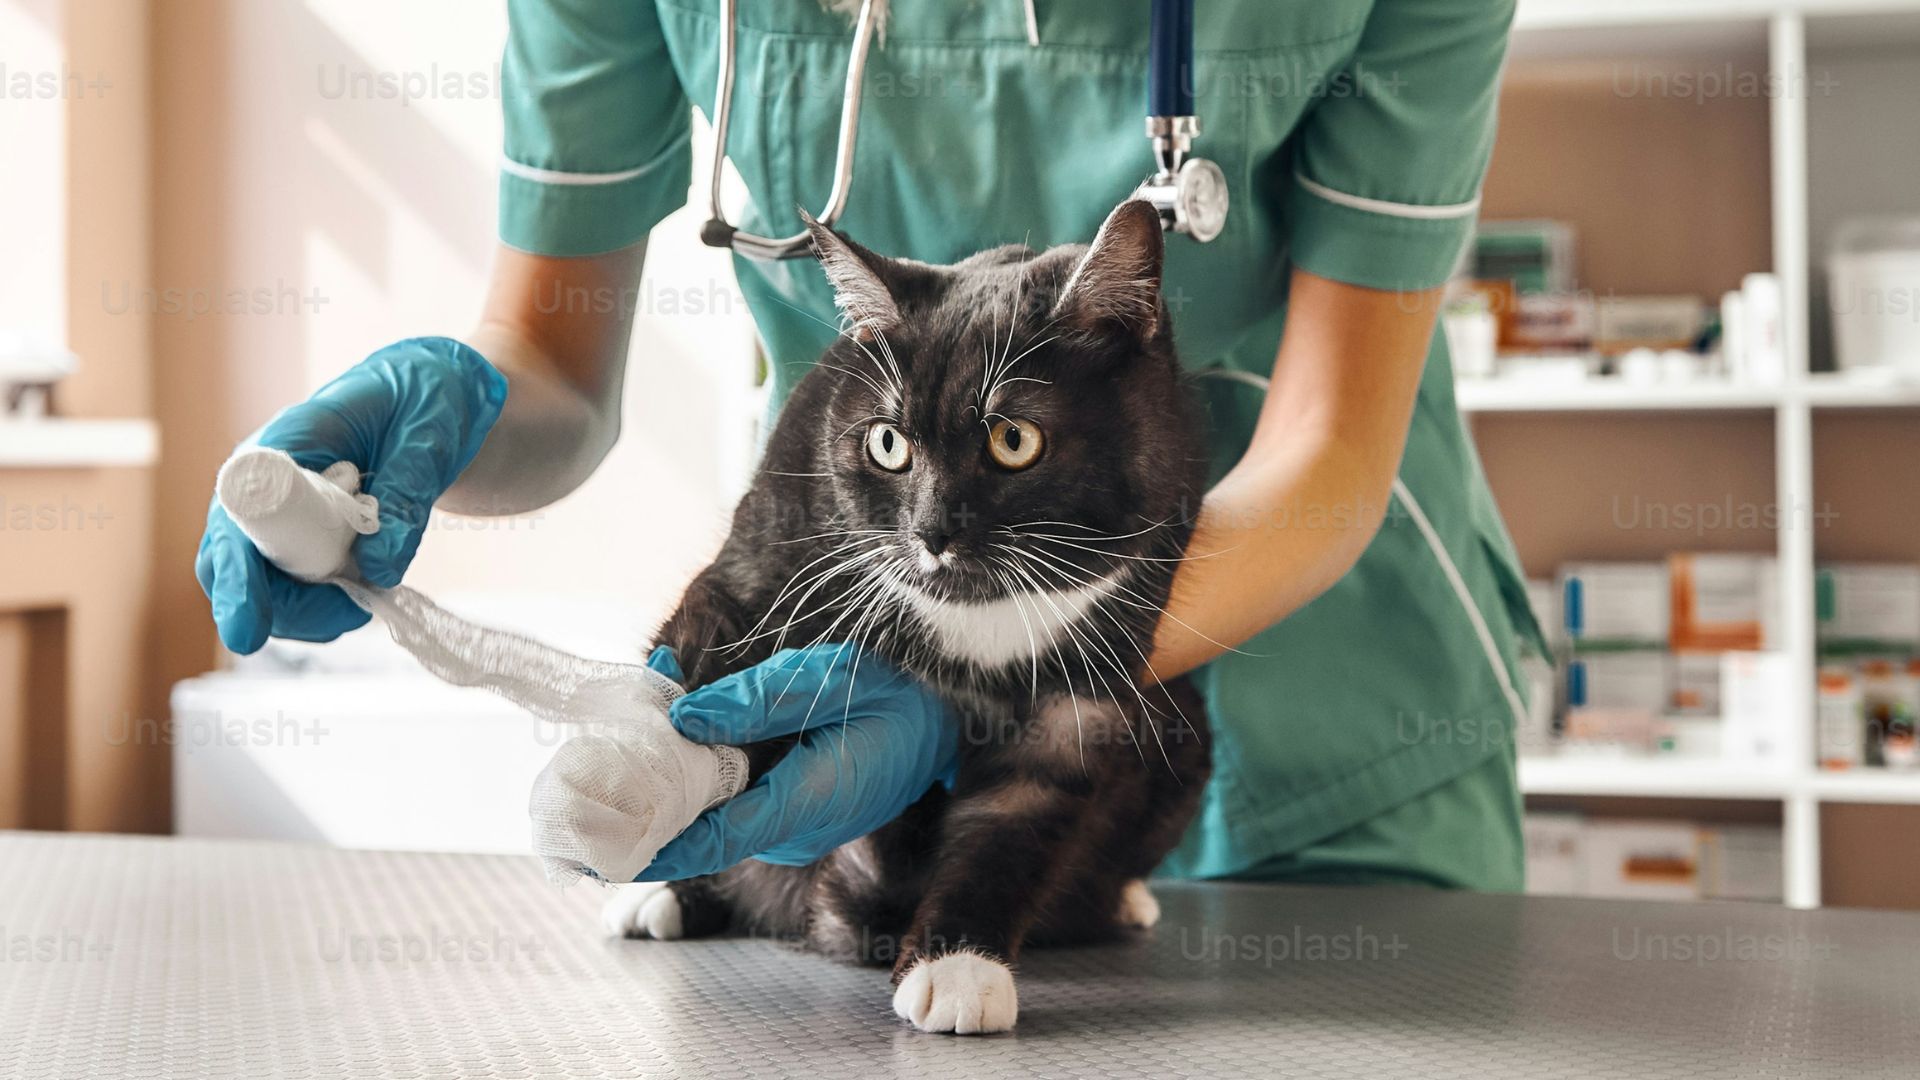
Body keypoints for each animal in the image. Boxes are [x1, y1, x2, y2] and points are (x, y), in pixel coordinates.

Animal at [610, 197, 1213, 1030]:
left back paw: (1119, 899)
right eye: (888, 443)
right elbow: (712, 642)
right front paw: (639, 782)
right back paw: (671, 899)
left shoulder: (1091, 681)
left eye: (1014, 438)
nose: (932, 531)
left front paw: (958, 967)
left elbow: (1016, 821)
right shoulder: (767, 541)